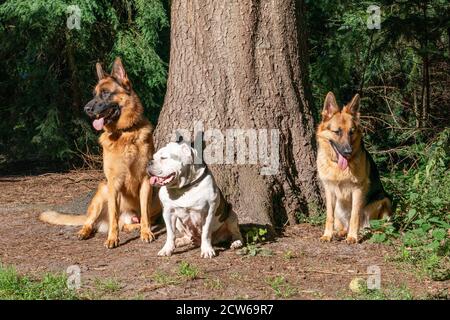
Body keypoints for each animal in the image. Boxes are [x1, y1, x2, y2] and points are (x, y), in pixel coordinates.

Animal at [39, 57, 161, 248]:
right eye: (94, 94)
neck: (125, 133)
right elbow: (114, 216)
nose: (86, 109)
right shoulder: (113, 183)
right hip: (102, 190)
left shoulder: (145, 181)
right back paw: (85, 231)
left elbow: (145, 215)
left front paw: (146, 232)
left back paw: (136, 226)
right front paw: (112, 238)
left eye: (105, 93)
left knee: (130, 222)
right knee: (93, 221)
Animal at [316, 91, 390, 244]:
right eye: (337, 132)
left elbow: (355, 216)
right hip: (339, 207)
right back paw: (340, 232)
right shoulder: (329, 190)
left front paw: (352, 237)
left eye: (351, 132)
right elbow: (329, 216)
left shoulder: (357, 190)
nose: (348, 152)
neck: (338, 168)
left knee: (370, 226)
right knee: (343, 224)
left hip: (384, 200)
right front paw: (327, 235)